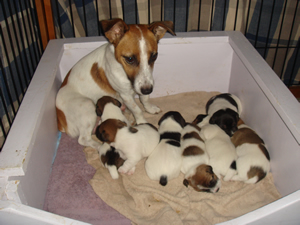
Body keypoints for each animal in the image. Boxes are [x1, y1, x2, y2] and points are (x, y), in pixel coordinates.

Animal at [55, 18, 176, 150]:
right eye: (130, 59)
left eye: (154, 56)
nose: (148, 90)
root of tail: (59, 119)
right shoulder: (126, 94)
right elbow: (137, 110)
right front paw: (142, 121)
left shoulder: (144, 85)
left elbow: (145, 99)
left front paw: (150, 108)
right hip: (87, 105)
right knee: (83, 139)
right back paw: (100, 146)